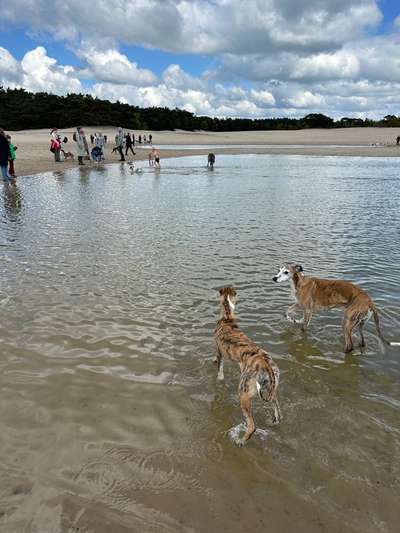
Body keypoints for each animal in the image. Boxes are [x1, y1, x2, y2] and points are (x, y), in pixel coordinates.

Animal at [212, 286, 282, 444]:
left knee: (252, 426)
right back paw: (273, 421)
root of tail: (266, 364)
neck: (227, 318)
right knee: (277, 409)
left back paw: (241, 441)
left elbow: (219, 370)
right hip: (271, 389)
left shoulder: (219, 351)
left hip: (243, 394)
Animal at [270, 262, 398, 354]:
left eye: (286, 272)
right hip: (359, 324)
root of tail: (370, 302)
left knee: (350, 346)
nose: (274, 278)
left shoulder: (307, 309)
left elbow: (303, 328)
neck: (300, 282)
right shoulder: (300, 305)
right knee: (362, 342)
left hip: (347, 322)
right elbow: (287, 311)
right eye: (278, 270)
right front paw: (294, 319)